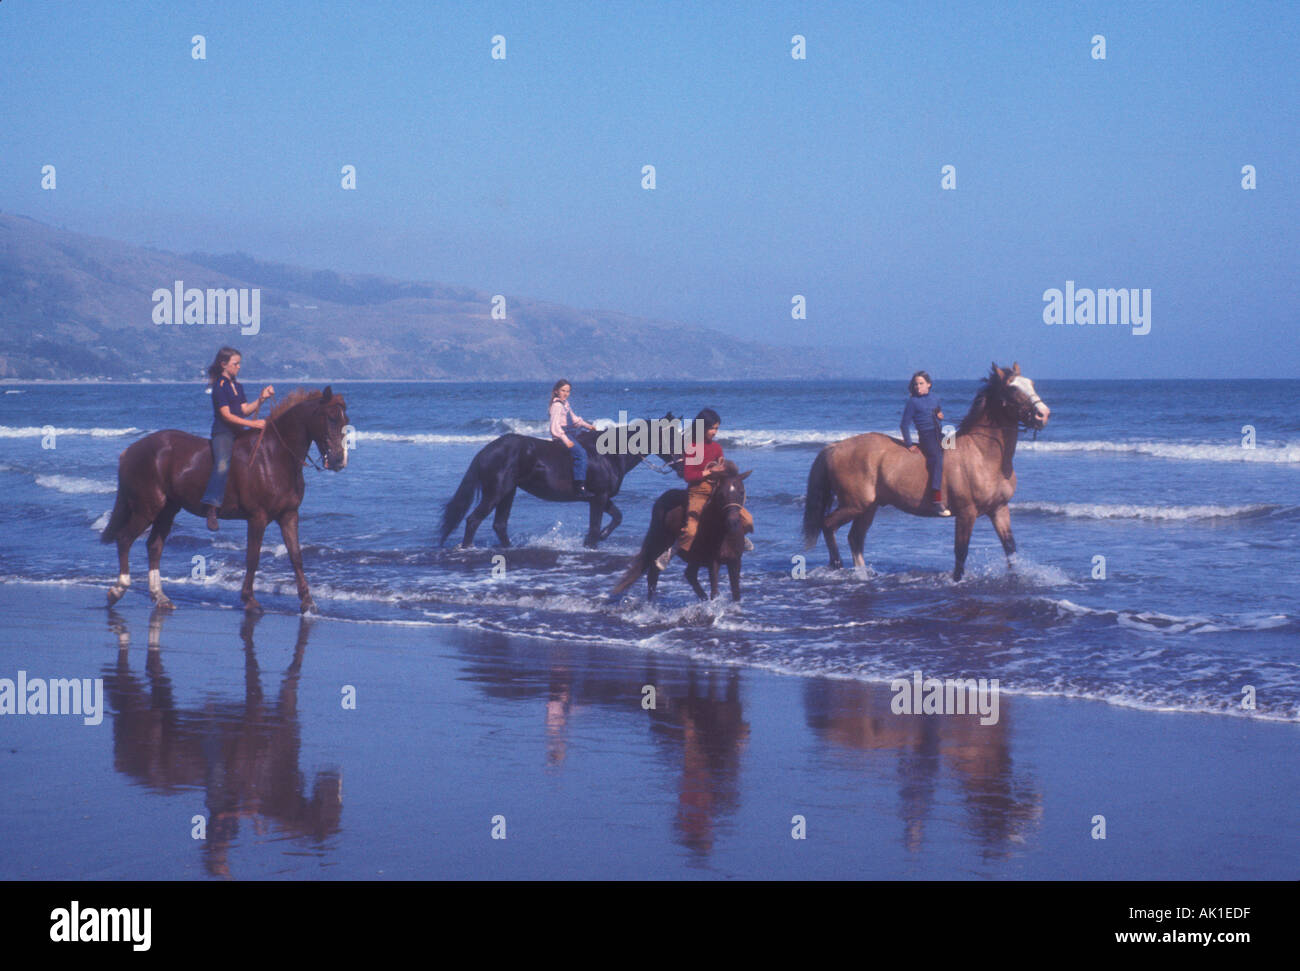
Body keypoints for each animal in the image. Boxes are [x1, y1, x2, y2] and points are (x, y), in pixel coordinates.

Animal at [100, 389, 348, 610]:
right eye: (330, 417)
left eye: (346, 420)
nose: (339, 460)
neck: (274, 455)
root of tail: (129, 451)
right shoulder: (257, 517)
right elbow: (253, 557)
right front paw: (249, 599)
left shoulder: (288, 515)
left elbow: (296, 556)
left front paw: (308, 601)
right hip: (147, 508)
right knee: (124, 539)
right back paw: (118, 589)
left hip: (167, 510)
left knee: (154, 547)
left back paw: (159, 596)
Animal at [436, 413, 681, 551]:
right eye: (672, 436)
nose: (681, 463)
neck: (609, 454)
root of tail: (486, 451)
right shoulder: (598, 498)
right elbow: (595, 527)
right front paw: (591, 543)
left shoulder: (602, 498)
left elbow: (617, 518)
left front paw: (599, 538)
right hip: (495, 493)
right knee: (473, 520)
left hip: (508, 493)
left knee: (499, 525)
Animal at [613, 462, 759, 600]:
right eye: (721, 495)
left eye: (741, 492)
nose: (733, 522)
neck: (725, 534)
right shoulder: (713, 562)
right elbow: (715, 592)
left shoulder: (735, 561)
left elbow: (736, 594)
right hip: (659, 543)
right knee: (653, 575)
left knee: (689, 575)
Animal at [795, 363, 1050, 577]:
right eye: (1012, 388)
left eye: (1032, 383)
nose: (1043, 414)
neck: (983, 454)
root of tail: (834, 447)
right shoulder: (966, 513)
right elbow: (961, 553)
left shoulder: (999, 510)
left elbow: (1010, 550)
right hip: (854, 504)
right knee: (828, 525)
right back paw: (837, 566)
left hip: (868, 507)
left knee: (855, 538)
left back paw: (862, 574)